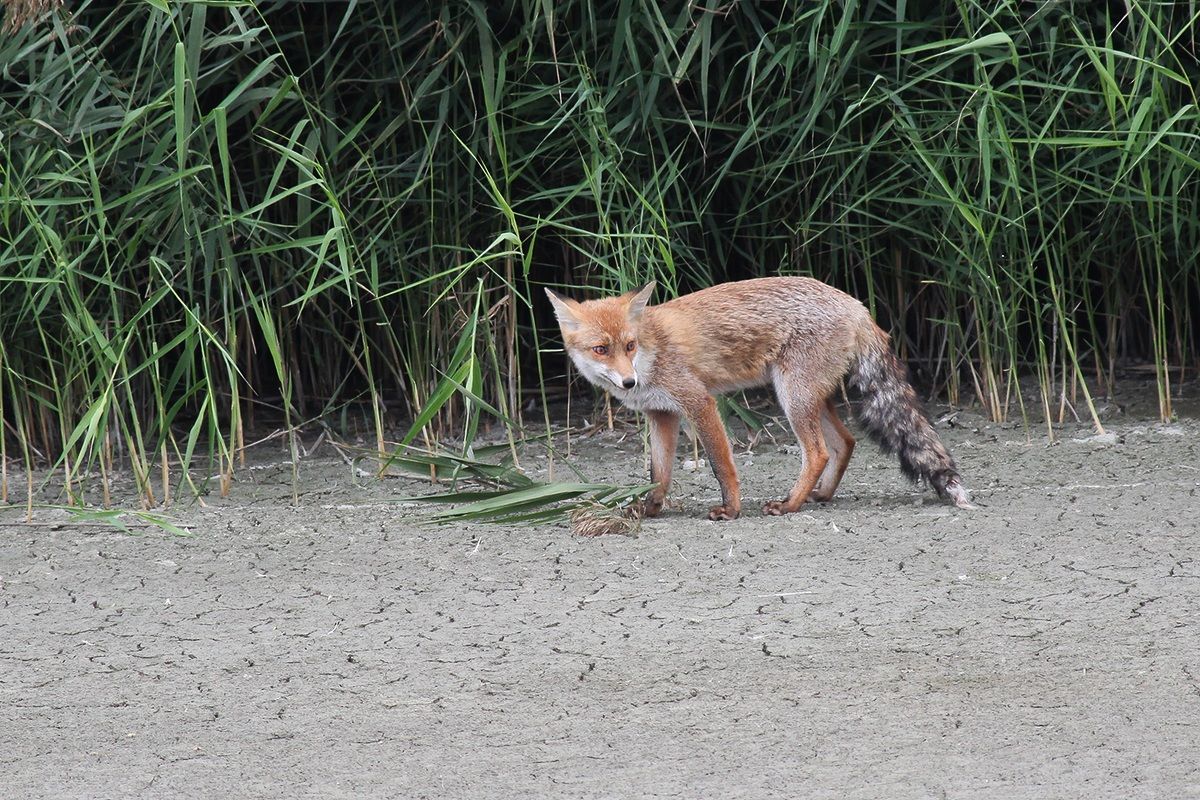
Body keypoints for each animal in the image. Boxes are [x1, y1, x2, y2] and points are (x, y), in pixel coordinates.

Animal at [545, 277, 973, 521]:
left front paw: (731, 510)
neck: (651, 351)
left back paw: (790, 505)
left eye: (629, 346)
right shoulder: (662, 414)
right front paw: (649, 510)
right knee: (845, 442)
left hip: (793, 396)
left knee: (818, 452)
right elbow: (658, 475)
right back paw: (820, 495)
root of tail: (856, 304)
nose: (629, 381)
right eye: (601, 349)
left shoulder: (698, 402)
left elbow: (721, 465)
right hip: (810, 397)